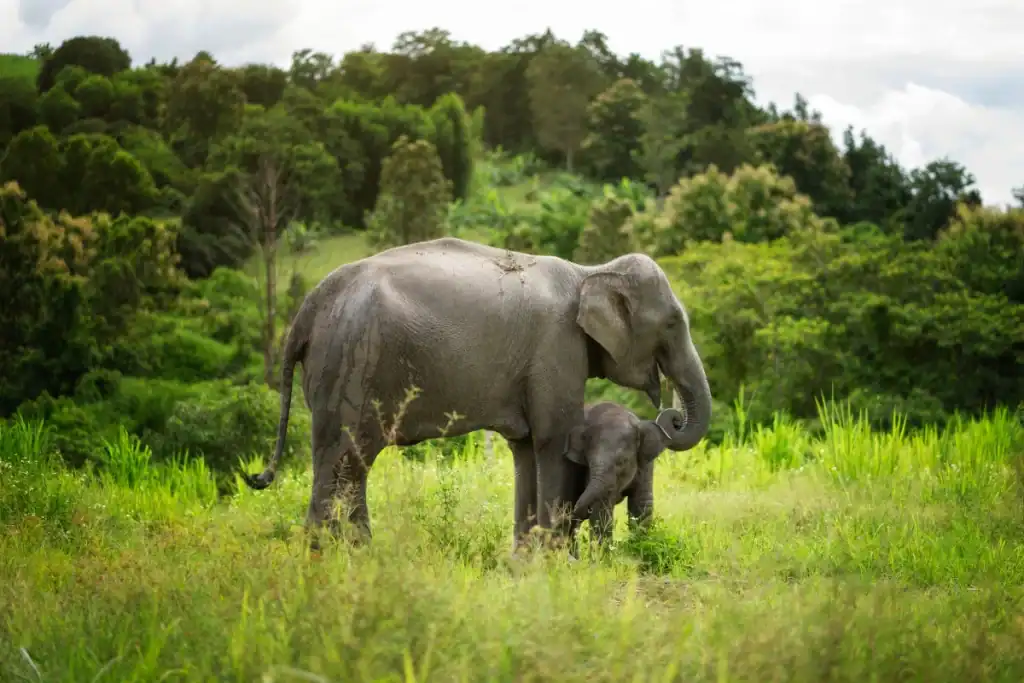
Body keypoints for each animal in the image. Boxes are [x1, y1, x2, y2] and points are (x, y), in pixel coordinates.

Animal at [565, 401, 682, 555]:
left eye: (622, 461)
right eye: (588, 462)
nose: (584, 511)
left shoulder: (645, 464)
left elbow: (642, 505)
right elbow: (602, 509)